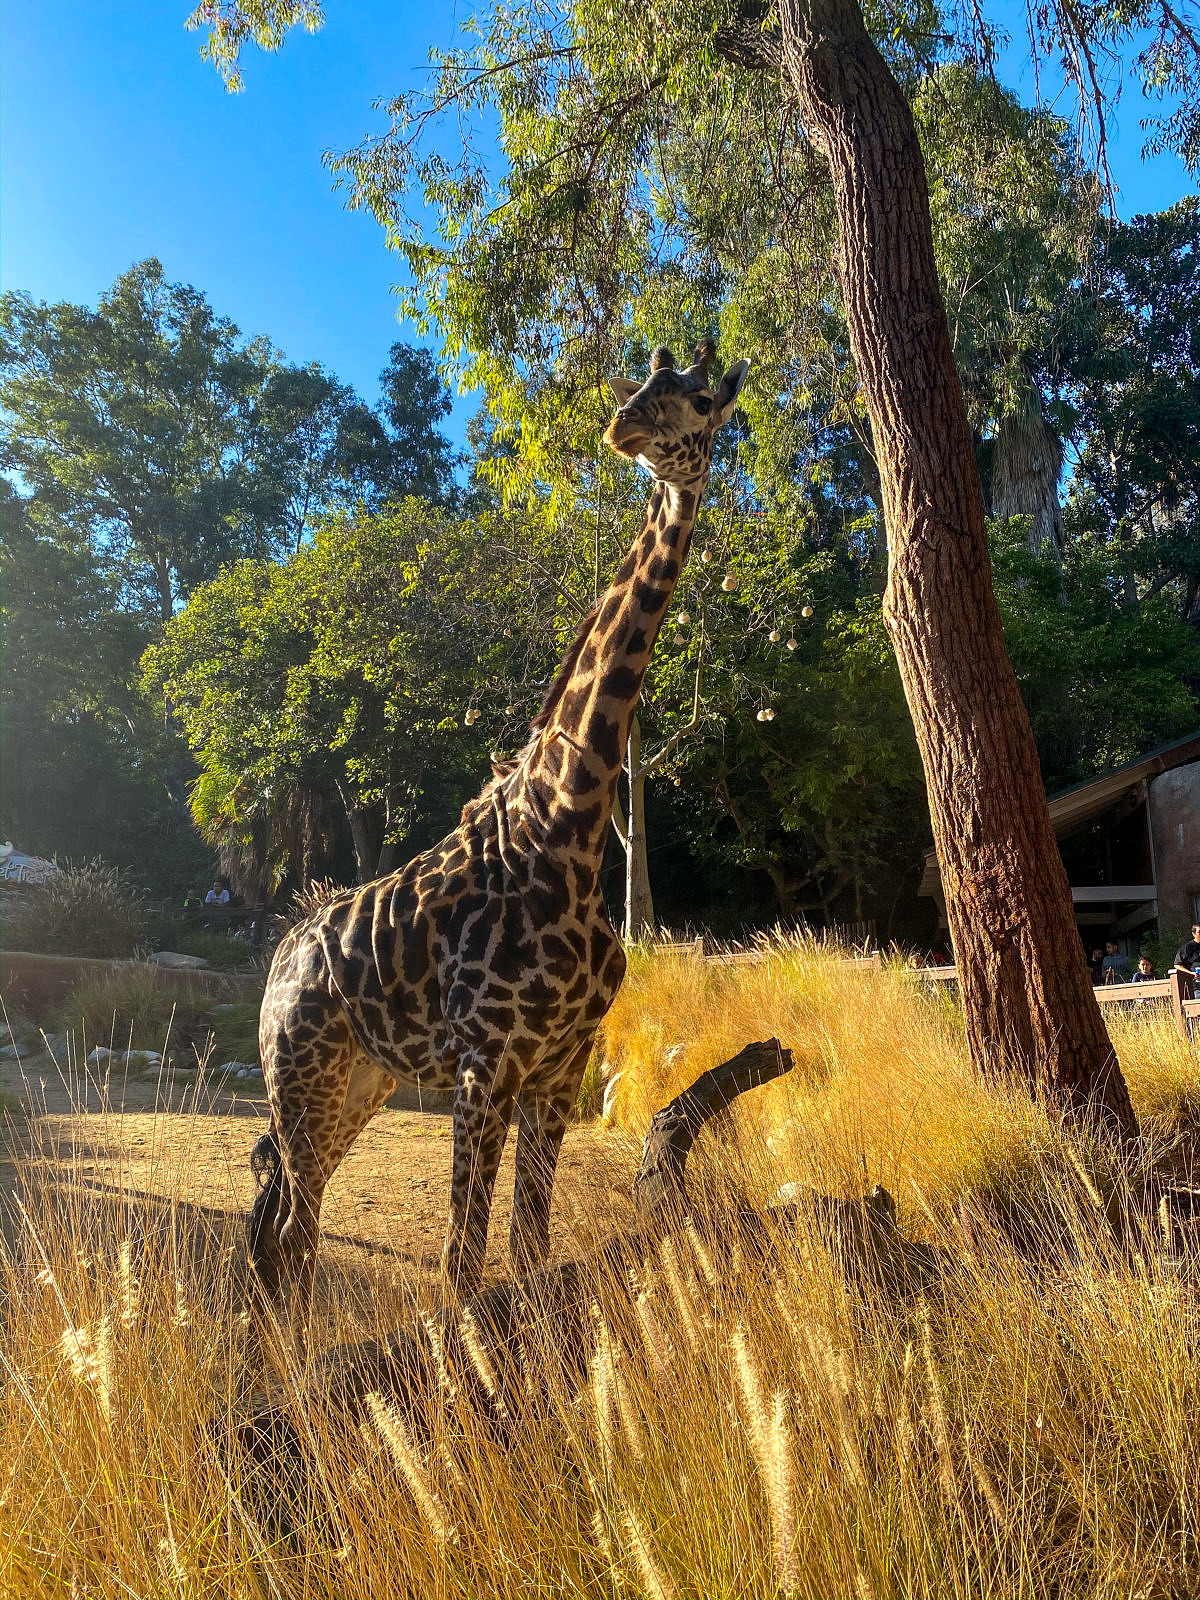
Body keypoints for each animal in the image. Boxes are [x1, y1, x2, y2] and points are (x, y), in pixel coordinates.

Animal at [249, 337, 748, 1337]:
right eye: (645, 383)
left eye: (699, 400)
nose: (623, 428)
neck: (574, 825)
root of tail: (280, 957)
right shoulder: (486, 1067)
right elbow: (463, 1263)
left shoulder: (558, 1067)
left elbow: (529, 1253)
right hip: (302, 1079)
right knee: (289, 1231)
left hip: (356, 1085)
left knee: (291, 1233)